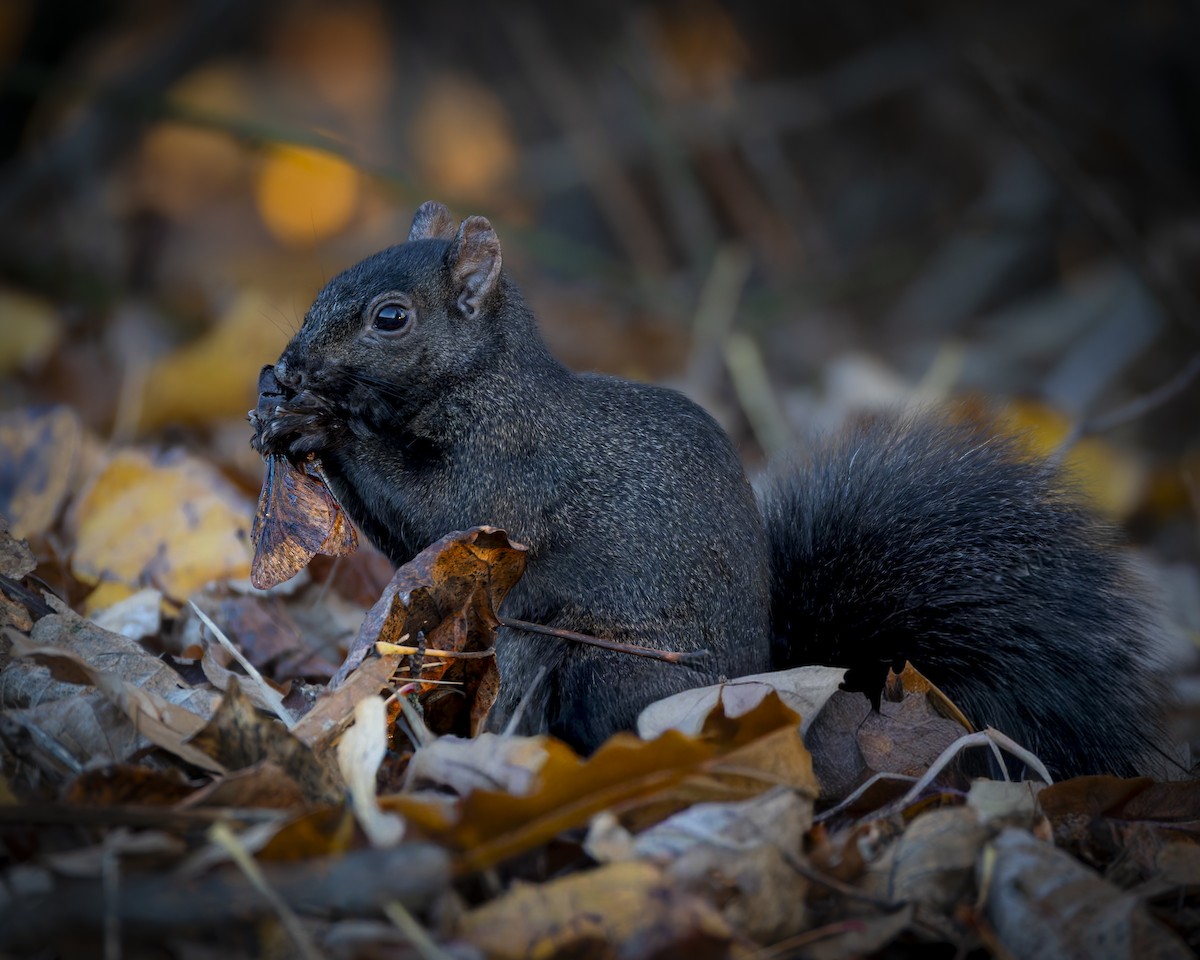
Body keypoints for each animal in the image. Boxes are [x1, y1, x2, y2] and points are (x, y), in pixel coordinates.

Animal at [254, 200, 1172, 780]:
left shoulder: (508, 473)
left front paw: (321, 426)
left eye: (391, 318)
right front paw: (280, 411)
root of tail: (772, 687)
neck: (484, 386)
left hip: (611, 670)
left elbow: (439, 512)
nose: (291, 363)